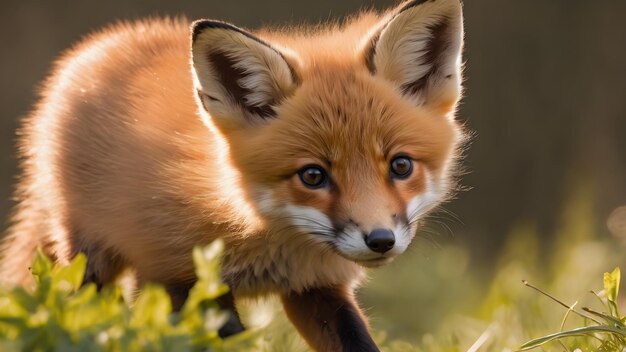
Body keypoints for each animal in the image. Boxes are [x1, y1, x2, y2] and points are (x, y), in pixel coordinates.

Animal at [1, 0, 464, 350]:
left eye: (400, 166)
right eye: (313, 176)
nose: (380, 240)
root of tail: (99, 46)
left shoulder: (316, 287)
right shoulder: (176, 279)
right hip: (88, 262)